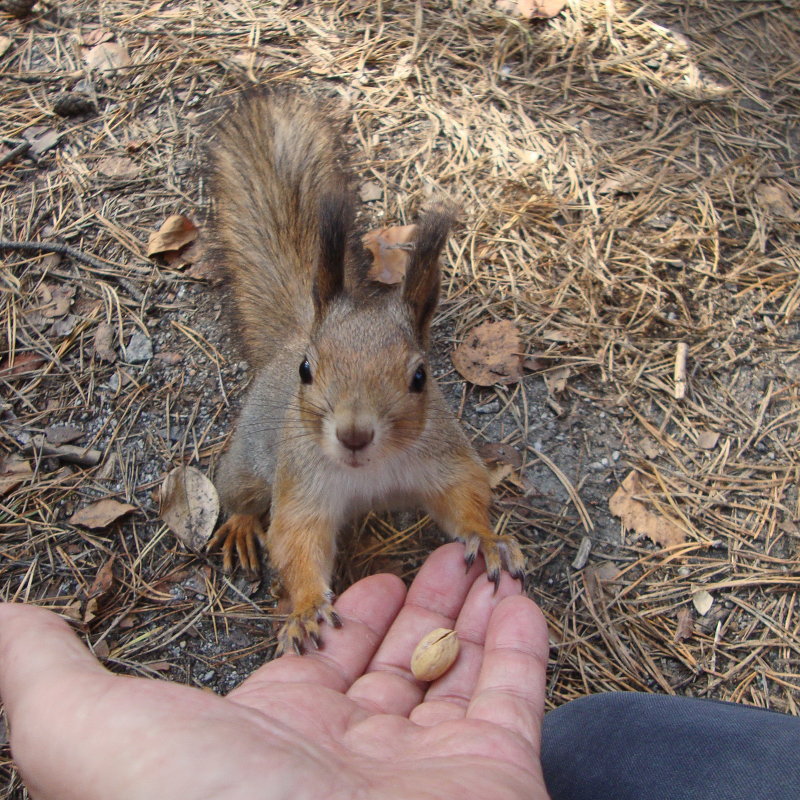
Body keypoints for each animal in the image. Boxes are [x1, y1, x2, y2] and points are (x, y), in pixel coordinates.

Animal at [205, 90, 524, 656]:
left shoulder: (442, 455)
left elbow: (464, 494)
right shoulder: (303, 481)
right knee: (240, 492)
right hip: (249, 457)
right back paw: (241, 525)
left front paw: (486, 540)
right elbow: (296, 540)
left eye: (420, 377)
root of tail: (293, 334)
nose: (354, 434)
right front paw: (307, 610)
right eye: (308, 371)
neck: (369, 475)